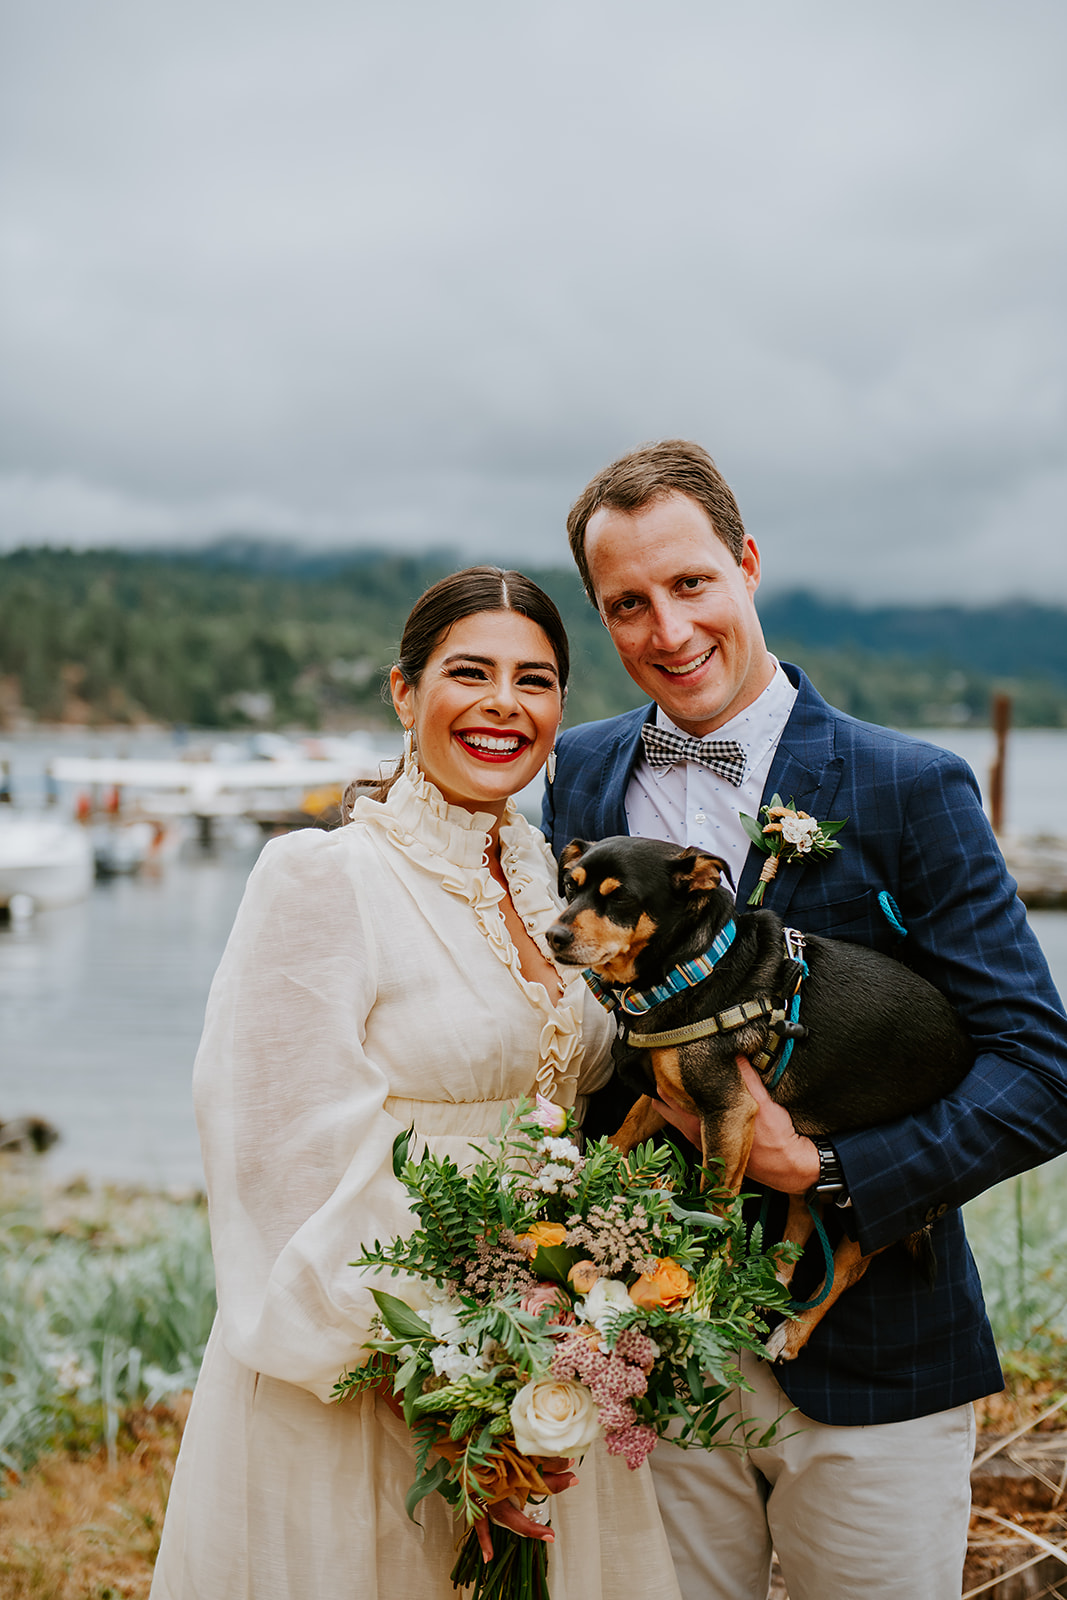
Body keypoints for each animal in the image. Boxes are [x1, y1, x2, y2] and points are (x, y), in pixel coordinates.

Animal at [547, 838, 972, 1363]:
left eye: (620, 898)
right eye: (571, 888)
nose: (553, 935)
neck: (689, 970)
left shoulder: (728, 1110)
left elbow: (715, 1205)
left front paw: (706, 1285)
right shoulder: (662, 1098)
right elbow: (621, 1139)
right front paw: (585, 1180)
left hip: (891, 1195)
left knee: (848, 1265)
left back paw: (790, 1331)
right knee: (801, 1225)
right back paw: (768, 1284)